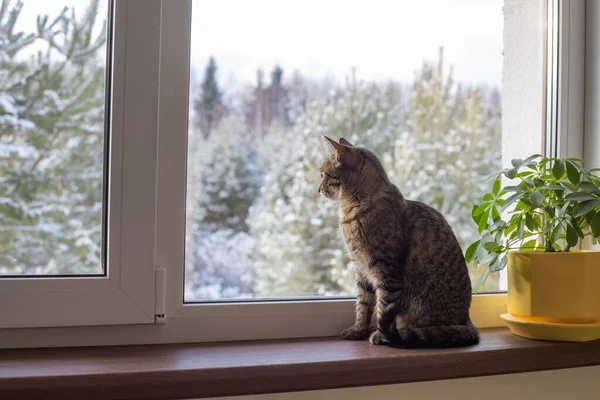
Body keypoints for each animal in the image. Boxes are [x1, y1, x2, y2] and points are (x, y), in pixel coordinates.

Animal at [318, 135, 478, 346]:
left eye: (324, 174)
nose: (318, 190)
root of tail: (467, 320)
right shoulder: (361, 268)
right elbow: (363, 304)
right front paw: (358, 330)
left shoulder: (386, 270)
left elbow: (383, 306)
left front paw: (381, 334)